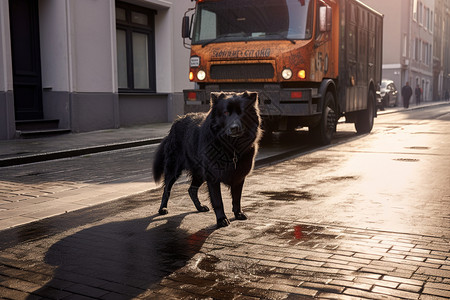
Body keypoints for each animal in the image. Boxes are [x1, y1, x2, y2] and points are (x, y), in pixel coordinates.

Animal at [153, 91, 262, 227]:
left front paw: (238, 214)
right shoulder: (212, 177)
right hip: (174, 169)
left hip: (199, 173)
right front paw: (221, 219)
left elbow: (237, 198)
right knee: (166, 188)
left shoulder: (239, 176)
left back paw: (199, 207)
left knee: (191, 190)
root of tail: (177, 121)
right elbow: (218, 201)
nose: (234, 128)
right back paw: (162, 208)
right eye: (226, 113)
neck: (231, 147)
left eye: (241, 112)